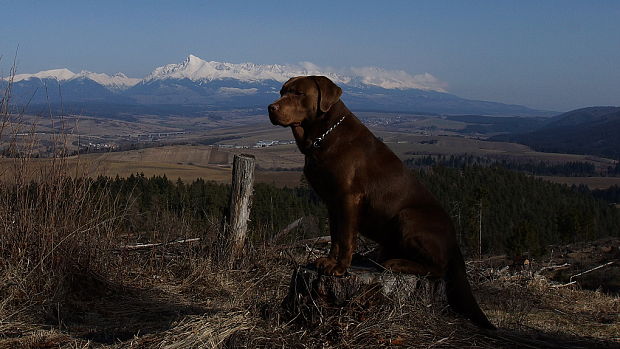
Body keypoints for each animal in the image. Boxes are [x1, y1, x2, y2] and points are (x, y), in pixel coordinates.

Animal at [266, 75, 494, 328]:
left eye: (298, 93)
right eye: (282, 91)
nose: (270, 108)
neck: (322, 135)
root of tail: (454, 241)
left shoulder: (348, 197)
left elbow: (346, 237)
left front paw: (340, 267)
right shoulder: (332, 202)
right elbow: (335, 236)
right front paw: (329, 261)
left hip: (408, 217)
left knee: (438, 268)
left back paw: (397, 263)